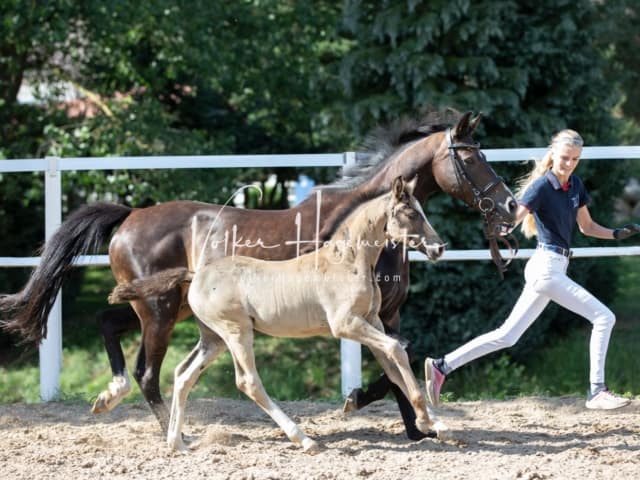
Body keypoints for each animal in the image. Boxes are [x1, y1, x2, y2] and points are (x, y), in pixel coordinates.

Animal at [109, 174, 444, 452]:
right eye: (412, 213)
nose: (439, 248)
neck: (348, 260)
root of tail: (195, 274)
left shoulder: (373, 321)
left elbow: (394, 366)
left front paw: (429, 421)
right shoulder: (346, 324)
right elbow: (396, 350)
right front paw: (424, 416)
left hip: (213, 339)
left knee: (183, 375)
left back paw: (177, 443)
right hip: (237, 332)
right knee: (248, 382)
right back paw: (304, 440)